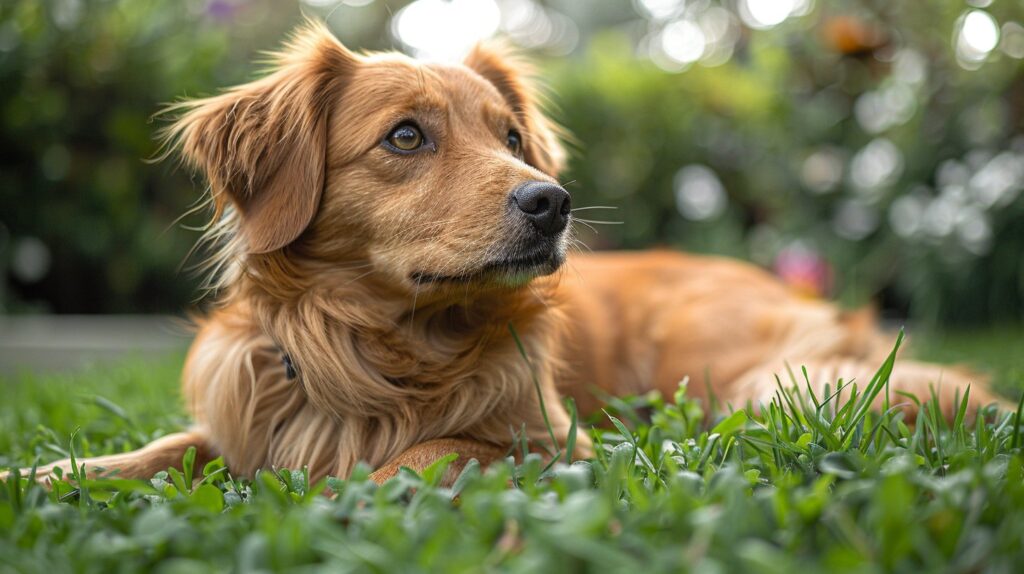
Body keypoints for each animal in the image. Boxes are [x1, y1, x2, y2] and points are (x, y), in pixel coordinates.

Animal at [14, 22, 1007, 484]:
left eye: (513, 139)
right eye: (405, 137)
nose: (551, 203)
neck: (380, 350)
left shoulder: (551, 440)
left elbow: (430, 449)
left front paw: (351, 490)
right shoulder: (246, 416)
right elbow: (164, 448)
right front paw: (44, 476)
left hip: (730, 371)